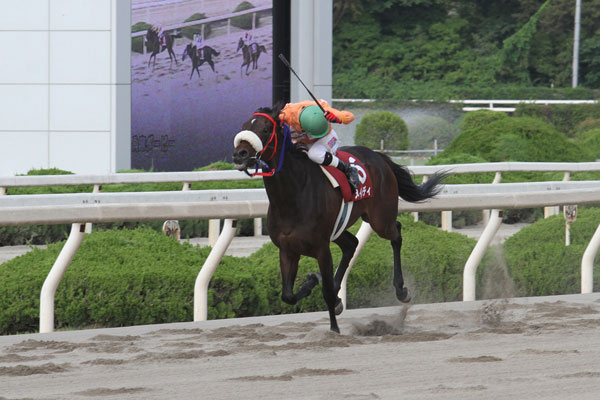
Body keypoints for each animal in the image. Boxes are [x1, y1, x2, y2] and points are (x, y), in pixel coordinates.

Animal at [232, 104, 447, 333]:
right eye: (244, 126)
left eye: (265, 129)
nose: (240, 153)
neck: (292, 197)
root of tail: (378, 157)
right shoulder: (287, 250)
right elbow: (288, 295)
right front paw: (313, 282)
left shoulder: (321, 248)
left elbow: (324, 291)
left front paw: (334, 330)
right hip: (340, 229)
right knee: (352, 243)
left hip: (380, 219)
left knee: (395, 233)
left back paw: (401, 290)